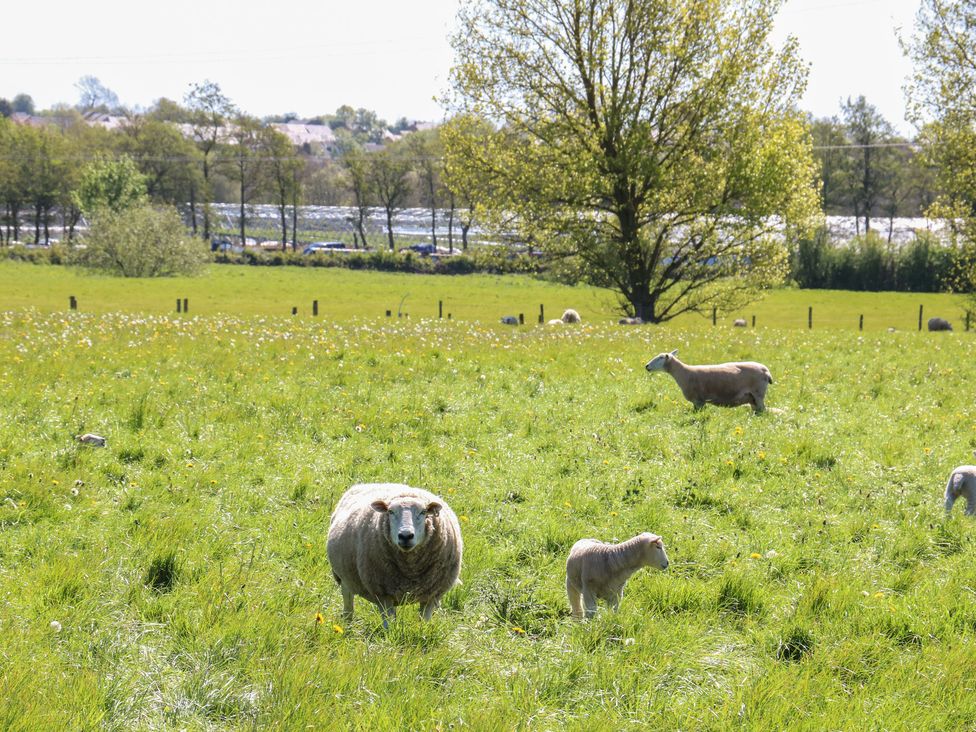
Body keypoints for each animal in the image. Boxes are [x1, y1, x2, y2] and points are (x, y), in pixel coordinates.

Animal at [326, 483, 463, 628]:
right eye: (390, 512)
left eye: (423, 512)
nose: (405, 536)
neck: (410, 568)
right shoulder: (383, 594)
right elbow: (388, 625)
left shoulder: (432, 595)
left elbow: (423, 621)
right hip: (344, 578)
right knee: (348, 606)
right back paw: (347, 626)